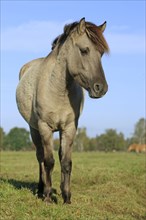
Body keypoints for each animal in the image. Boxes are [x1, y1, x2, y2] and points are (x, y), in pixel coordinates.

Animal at [16, 18, 109, 204]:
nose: (101, 88)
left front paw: (66, 197)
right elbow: (49, 161)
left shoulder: (69, 127)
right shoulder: (45, 127)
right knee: (40, 157)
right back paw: (40, 189)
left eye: (101, 53)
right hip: (34, 129)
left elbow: (66, 162)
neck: (58, 89)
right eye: (84, 50)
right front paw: (47, 196)